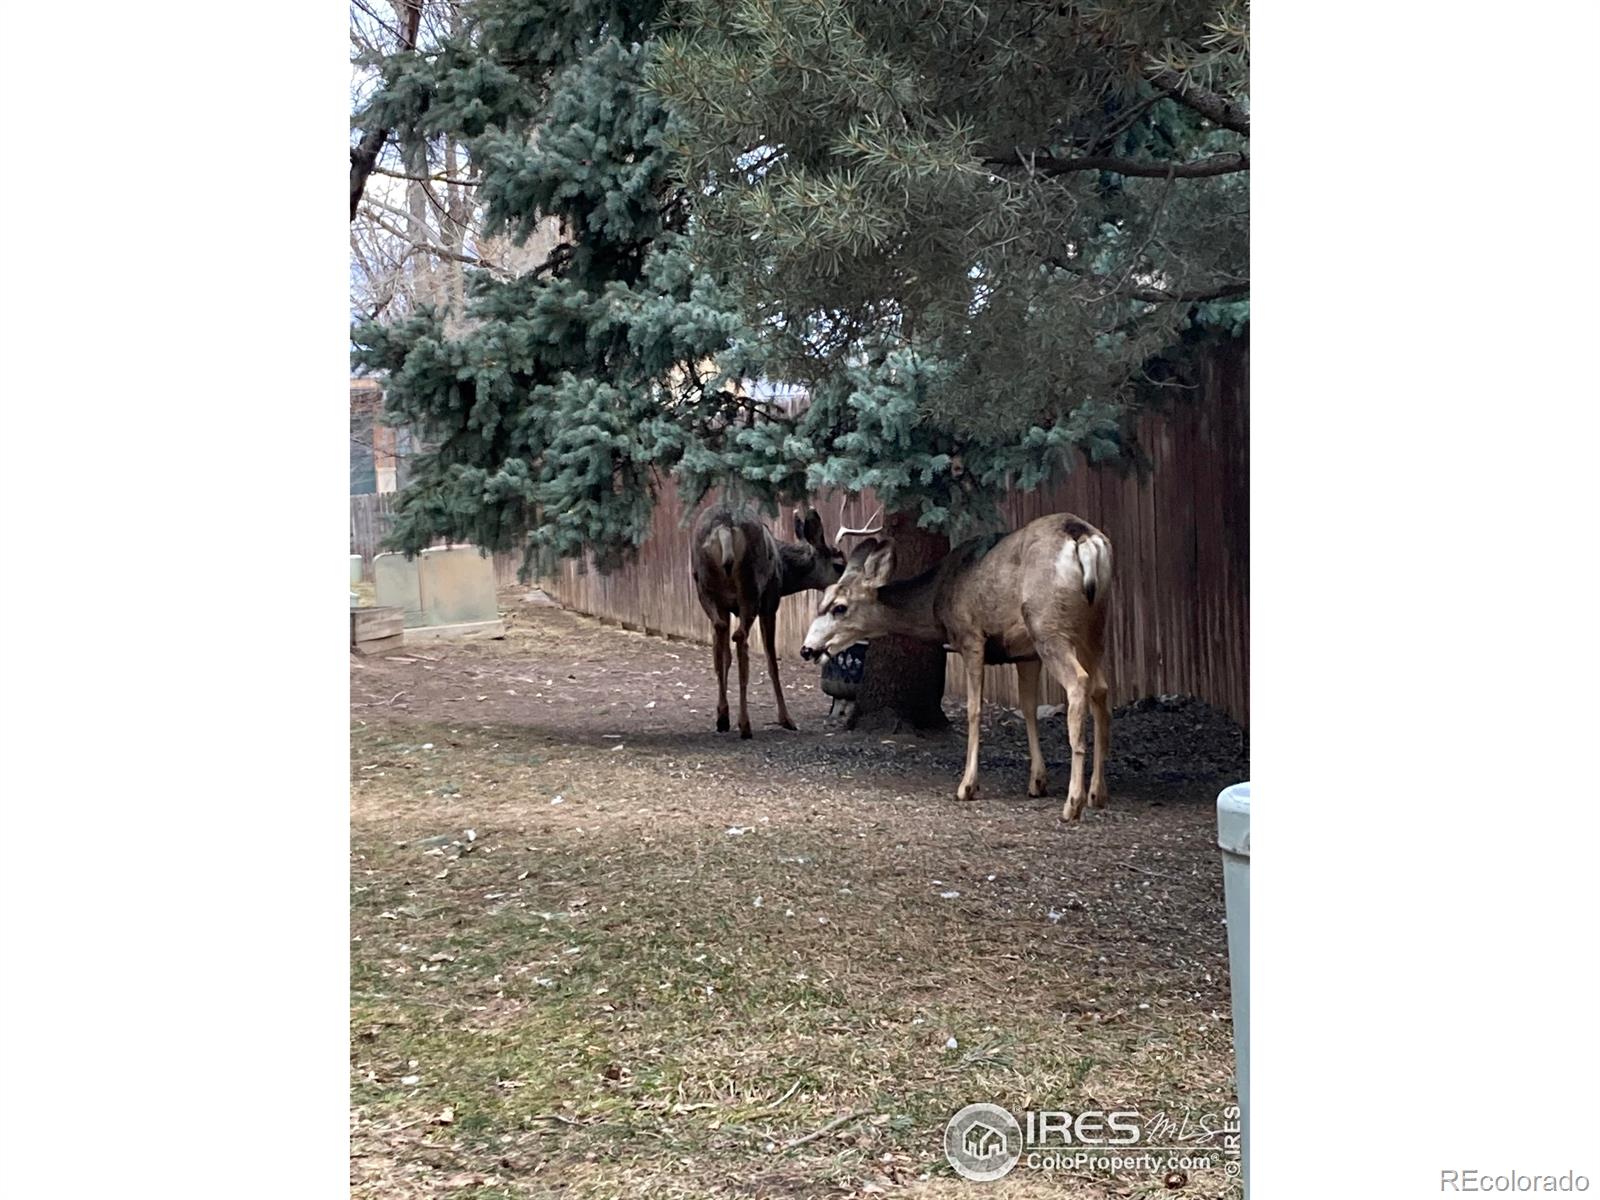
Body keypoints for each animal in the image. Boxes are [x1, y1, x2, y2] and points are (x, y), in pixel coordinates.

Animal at [684, 502, 870, 739]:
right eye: (839, 565)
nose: (851, 590)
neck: (783, 565)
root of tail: (725, 527)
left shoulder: (726, 607)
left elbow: (725, 657)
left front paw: (723, 715)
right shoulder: (771, 601)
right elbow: (772, 662)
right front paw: (786, 719)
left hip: (705, 587)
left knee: (721, 639)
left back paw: (724, 719)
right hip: (751, 588)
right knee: (741, 638)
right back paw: (745, 725)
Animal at [800, 512, 1113, 825]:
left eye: (839, 607)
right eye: (821, 603)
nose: (807, 649)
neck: (938, 598)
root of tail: (1081, 536)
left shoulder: (971, 636)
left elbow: (974, 709)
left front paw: (967, 786)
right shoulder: (1026, 653)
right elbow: (1028, 708)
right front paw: (1037, 781)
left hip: (1048, 625)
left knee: (1079, 683)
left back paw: (1073, 803)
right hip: (1094, 626)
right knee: (1100, 688)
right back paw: (1097, 793)